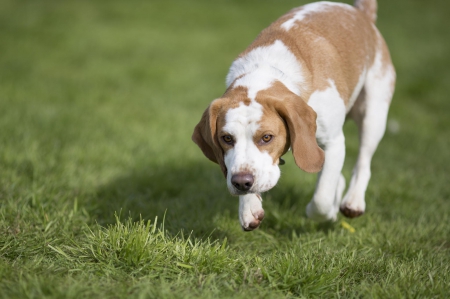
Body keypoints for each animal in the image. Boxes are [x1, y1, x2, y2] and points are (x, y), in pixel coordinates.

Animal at [192, 0, 396, 232]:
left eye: (267, 137)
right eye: (226, 138)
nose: (242, 183)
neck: (265, 70)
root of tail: (361, 13)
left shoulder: (334, 142)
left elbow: (321, 200)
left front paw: (326, 212)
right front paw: (249, 207)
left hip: (373, 115)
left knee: (363, 162)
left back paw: (353, 201)